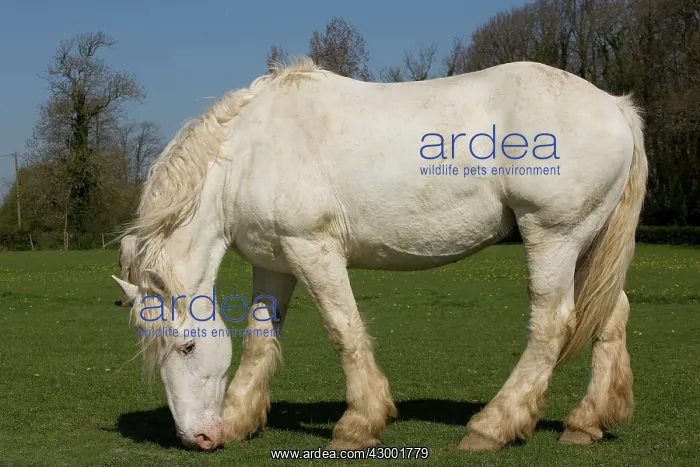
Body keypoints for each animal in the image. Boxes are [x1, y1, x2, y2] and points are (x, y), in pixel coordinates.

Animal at [112, 57, 648, 452]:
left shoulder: (313, 250)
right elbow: (260, 339)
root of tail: (615, 106)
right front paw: (241, 418)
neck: (247, 153)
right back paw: (586, 422)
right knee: (611, 316)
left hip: (552, 237)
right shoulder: (273, 263)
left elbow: (343, 329)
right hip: (587, 246)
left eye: (186, 346)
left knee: (551, 325)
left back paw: (492, 426)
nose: (199, 437)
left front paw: (359, 423)